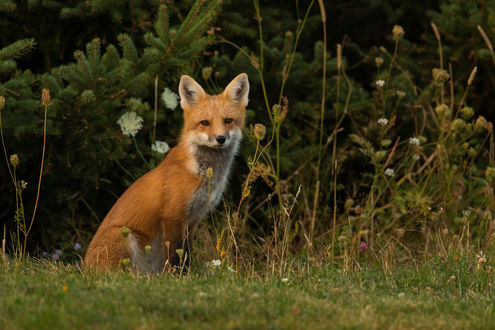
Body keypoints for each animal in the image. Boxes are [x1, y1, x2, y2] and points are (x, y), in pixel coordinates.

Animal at [84, 73, 252, 272]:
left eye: (228, 121)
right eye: (205, 123)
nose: (221, 138)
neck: (202, 174)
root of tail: (83, 267)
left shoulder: (193, 220)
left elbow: (186, 254)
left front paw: (186, 275)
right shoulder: (173, 215)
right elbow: (174, 255)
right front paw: (175, 275)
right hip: (125, 236)